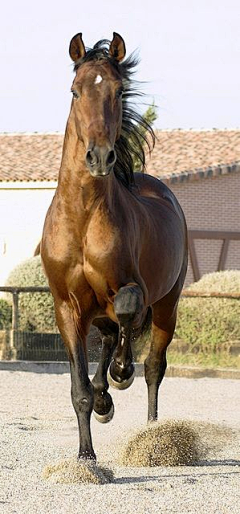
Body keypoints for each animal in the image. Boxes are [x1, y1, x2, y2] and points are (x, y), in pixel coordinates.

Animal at [40, 32, 188, 458]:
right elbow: (79, 390)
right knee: (108, 338)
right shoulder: (67, 307)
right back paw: (106, 399)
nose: (100, 156)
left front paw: (122, 373)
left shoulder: (130, 287)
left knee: (153, 365)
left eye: (119, 91)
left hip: (168, 304)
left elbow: (127, 307)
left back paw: (152, 429)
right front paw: (86, 455)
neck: (83, 218)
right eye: (75, 91)